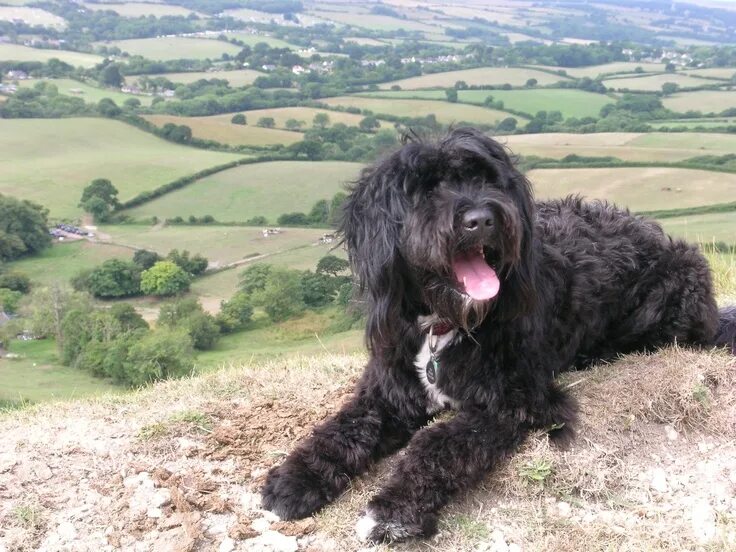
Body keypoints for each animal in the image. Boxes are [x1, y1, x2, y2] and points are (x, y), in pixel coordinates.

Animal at [262, 126, 732, 544]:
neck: (444, 326)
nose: (481, 219)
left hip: (673, 292)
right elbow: (341, 429)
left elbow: (438, 444)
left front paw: (393, 512)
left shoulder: (513, 402)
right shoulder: (387, 392)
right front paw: (294, 479)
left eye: (486, 179)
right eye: (424, 190)